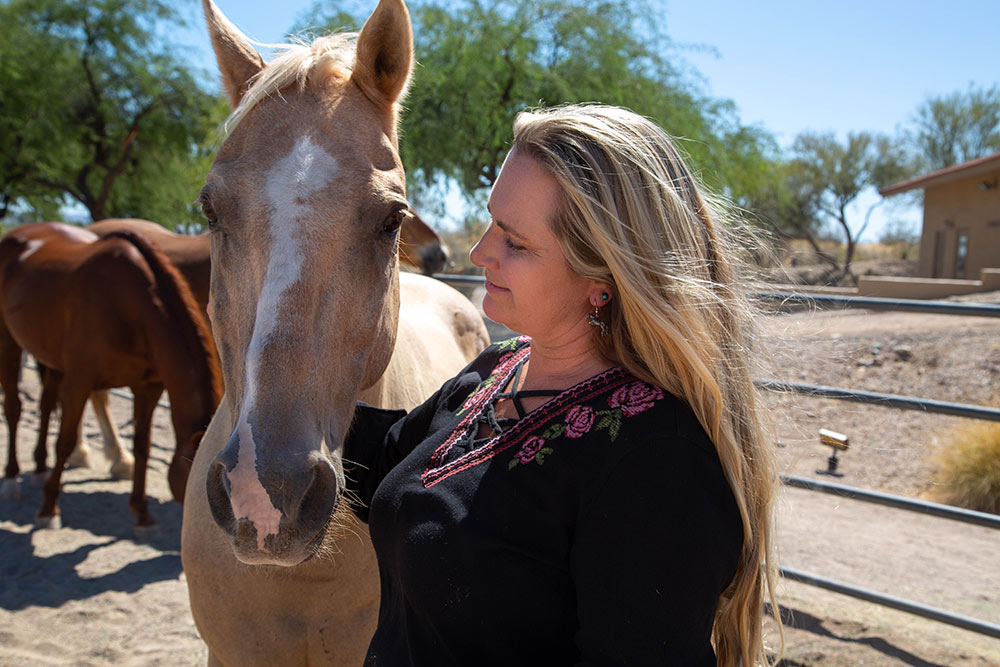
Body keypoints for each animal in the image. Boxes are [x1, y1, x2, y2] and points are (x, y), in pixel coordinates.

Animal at [0, 224, 221, 532]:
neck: (129, 306)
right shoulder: (79, 381)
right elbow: (65, 441)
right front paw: (48, 510)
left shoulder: (148, 388)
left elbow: (142, 446)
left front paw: (141, 512)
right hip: (9, 342)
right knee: (13, 409)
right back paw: (12, 480)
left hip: (51, 358)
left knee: (45, 406)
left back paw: (41, 469)